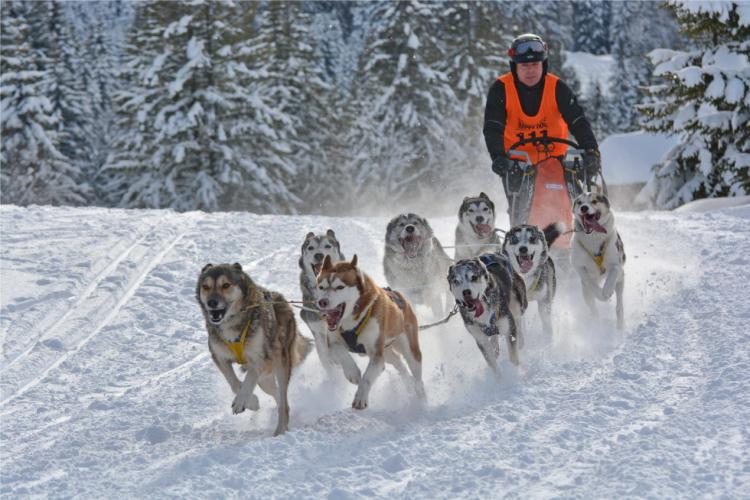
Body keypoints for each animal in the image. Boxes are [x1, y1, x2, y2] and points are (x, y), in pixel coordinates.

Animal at [197, 264, 312, 436]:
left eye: (226, 285)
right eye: (206, 286)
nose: (212, 302)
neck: (232, 325)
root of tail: (282, 300)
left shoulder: (261, 358)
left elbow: (250, 377)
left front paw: (241, 400)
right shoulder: (219, 357)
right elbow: (233, 382)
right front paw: (252, 402)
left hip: (280, 365)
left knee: (283, 401)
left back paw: (280, 429)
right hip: (265, 380)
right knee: (278, 396)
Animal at [316, 256, 426, 408]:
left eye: (340, 287)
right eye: (321, 287)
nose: (322, 302)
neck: (351, 322)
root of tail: (400, 296)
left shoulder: (376, 355)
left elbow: (367, 377)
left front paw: (361, 397)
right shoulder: (332, 342)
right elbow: (341, 352)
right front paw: (353, 373)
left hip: (409, 348)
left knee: (416, 373)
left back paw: (420, 396)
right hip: (387, 352)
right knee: (399, 364)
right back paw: (408, 382)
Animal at [576, 190, 628, 328]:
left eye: (594, 201)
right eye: (579, 202)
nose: (584, 208)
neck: (594, 236)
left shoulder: (617, 265)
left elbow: (613, 272)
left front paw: (607, 290)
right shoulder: (579, 265)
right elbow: (589, 282)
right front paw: (600, 294)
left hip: (620, 282)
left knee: (619, 305)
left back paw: (620, 323)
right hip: (585, 292)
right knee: (591, 305)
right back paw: (595, 319)